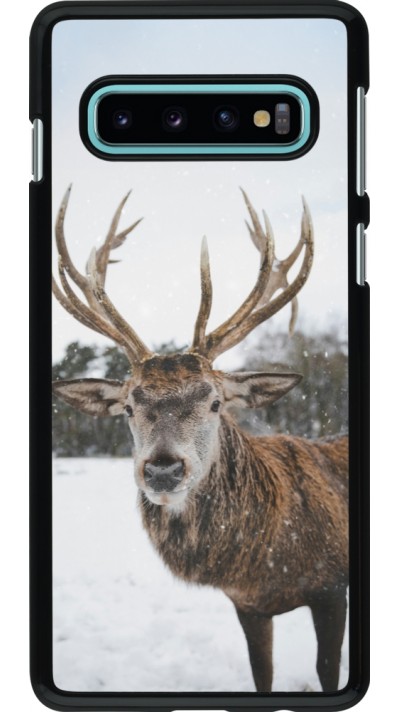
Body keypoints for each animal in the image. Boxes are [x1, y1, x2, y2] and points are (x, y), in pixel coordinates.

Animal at [52, 186, 348, 693]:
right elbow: (261, 674)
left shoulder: (333, 587)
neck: (267, 563)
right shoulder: (247, 605)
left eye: (214, 401)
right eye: (128, 407)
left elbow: (329, 670)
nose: (163, 469)